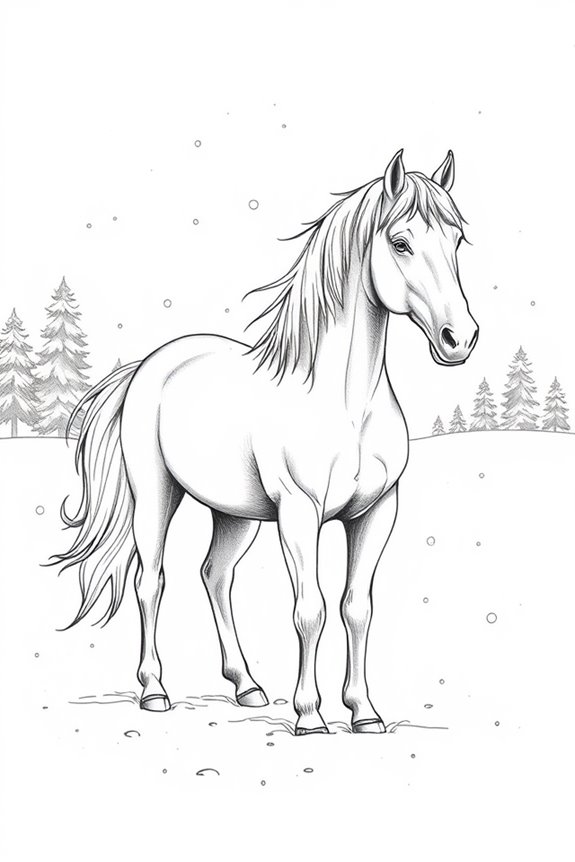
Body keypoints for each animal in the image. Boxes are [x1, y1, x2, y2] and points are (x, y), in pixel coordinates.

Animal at [53, 149, 478, 735]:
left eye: (456, 240)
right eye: (400, 242)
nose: (460, 340)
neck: (345, 403)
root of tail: (152, 364)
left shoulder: (376, 512)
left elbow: (356, 608)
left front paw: (364, 713)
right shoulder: (300, 512)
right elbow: (310, 610)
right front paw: (310, 716)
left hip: (235, 514)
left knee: (215, 576)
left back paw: (247, 687)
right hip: (155, 498)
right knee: (151, 581)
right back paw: (155, 691)